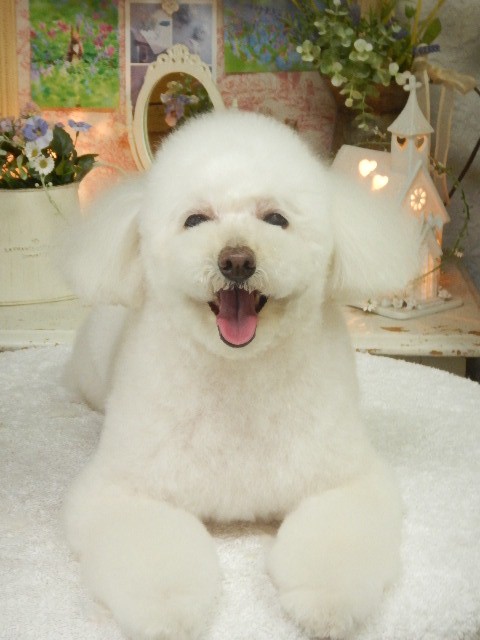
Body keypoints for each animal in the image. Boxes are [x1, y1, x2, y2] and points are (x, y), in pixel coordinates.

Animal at [61, 110, 421, 640]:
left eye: (275, 219)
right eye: (195, 219)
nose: (235, 260)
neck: (238, 378)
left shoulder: (347, 481)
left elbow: (334, 547)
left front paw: (326, 603)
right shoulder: (123, 489)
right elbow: (156, 561)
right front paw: (168, 611)